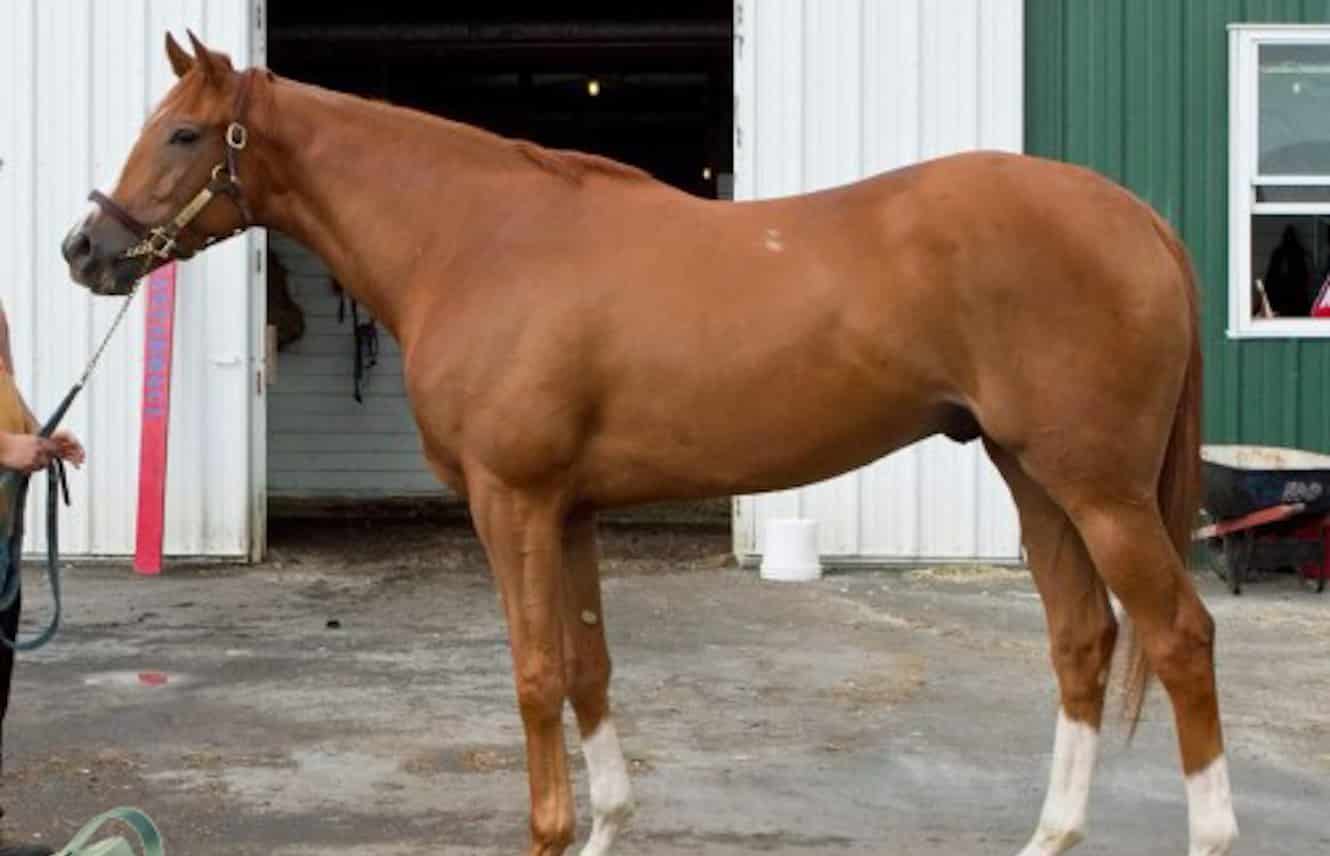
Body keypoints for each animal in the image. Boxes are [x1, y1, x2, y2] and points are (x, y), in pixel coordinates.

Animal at [60, 32, 1237, 856]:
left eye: (182, 135)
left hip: (1101, 490)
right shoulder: (570, 509)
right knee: (1081, 641)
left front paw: (548, 829)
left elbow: (537, 673)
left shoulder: (513, 501)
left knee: (1178, 637)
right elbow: (590, 667)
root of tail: (1138, 218)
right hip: (1034, 477)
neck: (475, 241)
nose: (85, 248)